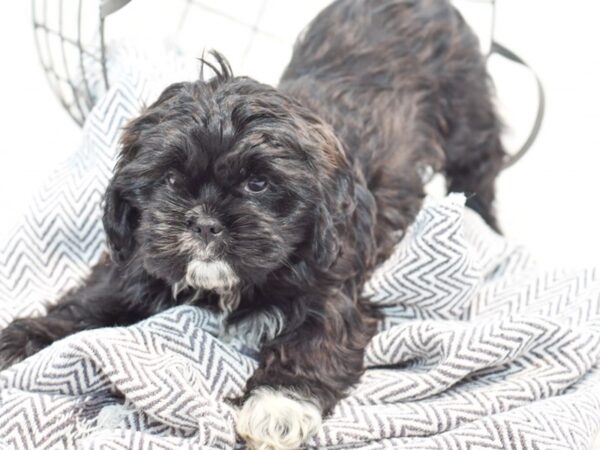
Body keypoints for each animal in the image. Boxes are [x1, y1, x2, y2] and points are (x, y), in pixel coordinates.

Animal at [0, 0, 506, 446]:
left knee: (480, 167)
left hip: (468, 116)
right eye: (170, 179)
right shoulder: (139, 258)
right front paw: (20, 340)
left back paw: (486, 222)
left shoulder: (332, 287)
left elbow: (313, 342)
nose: (205, 223)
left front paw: (278, 407)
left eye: (258, 184)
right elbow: (88, 303)